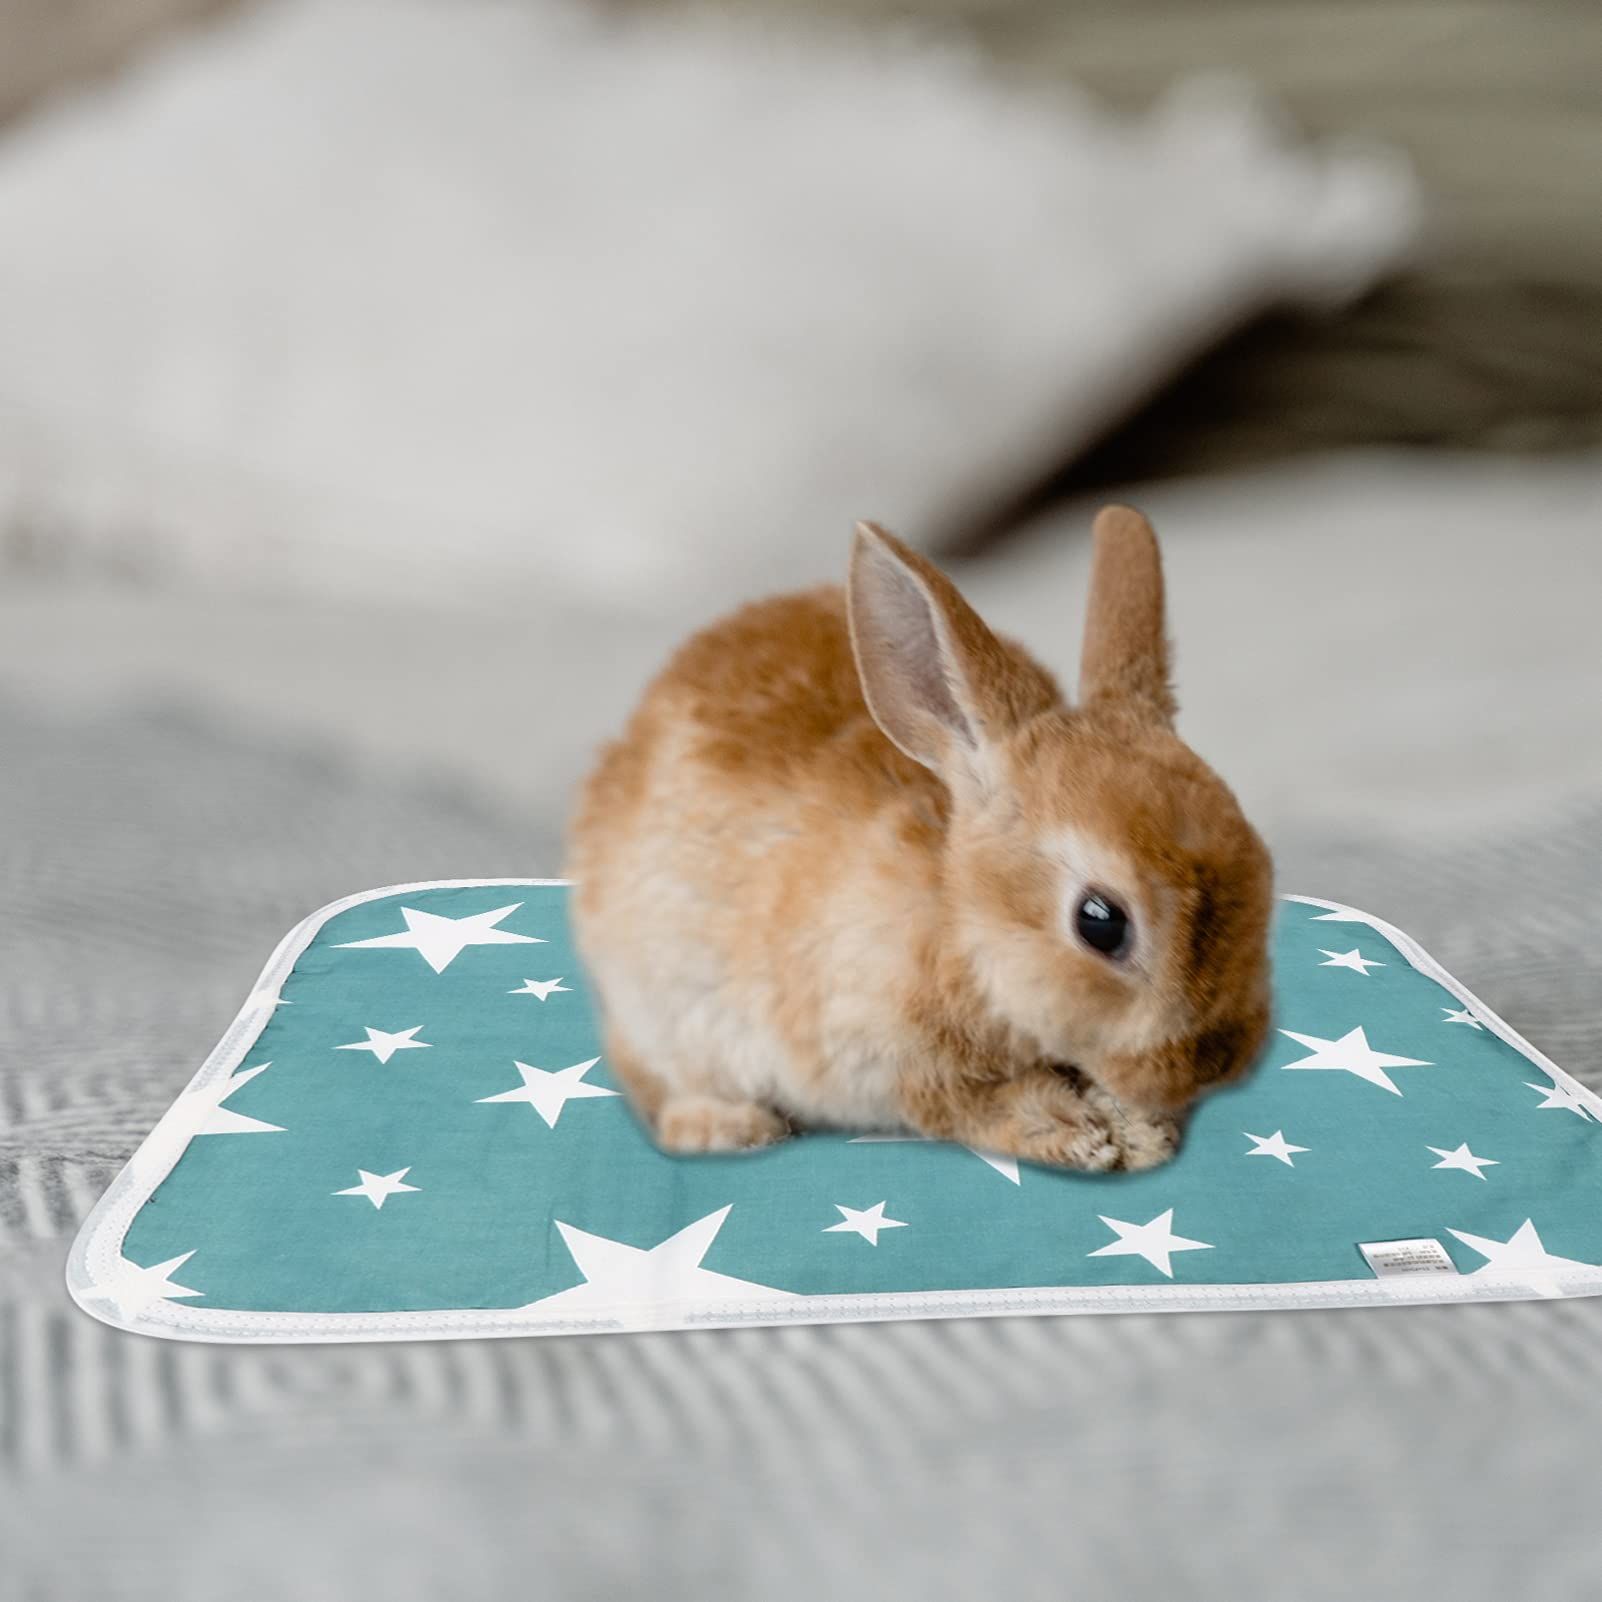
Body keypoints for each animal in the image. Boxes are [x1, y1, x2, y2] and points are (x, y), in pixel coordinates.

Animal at [567, 506, 1274, 1172]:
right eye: (1100, 922)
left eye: (1263, 870)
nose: (1210, 1068)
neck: (958, 919)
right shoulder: (892, 1062)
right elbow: (976, 1106)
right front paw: (1081, 1136)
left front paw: (1143, 1133)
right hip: (654, 1008)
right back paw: (728, 1128)